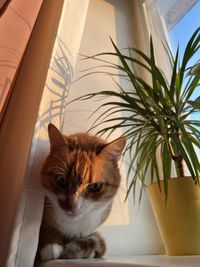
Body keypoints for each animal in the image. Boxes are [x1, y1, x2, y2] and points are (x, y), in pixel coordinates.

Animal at [37, 124, 126, 262]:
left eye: (95, 186)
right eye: (61, 180)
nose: (72, 206)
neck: (71, 225)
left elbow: (91, 240)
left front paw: (81, 250)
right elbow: (46, 229)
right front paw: (51, 245)